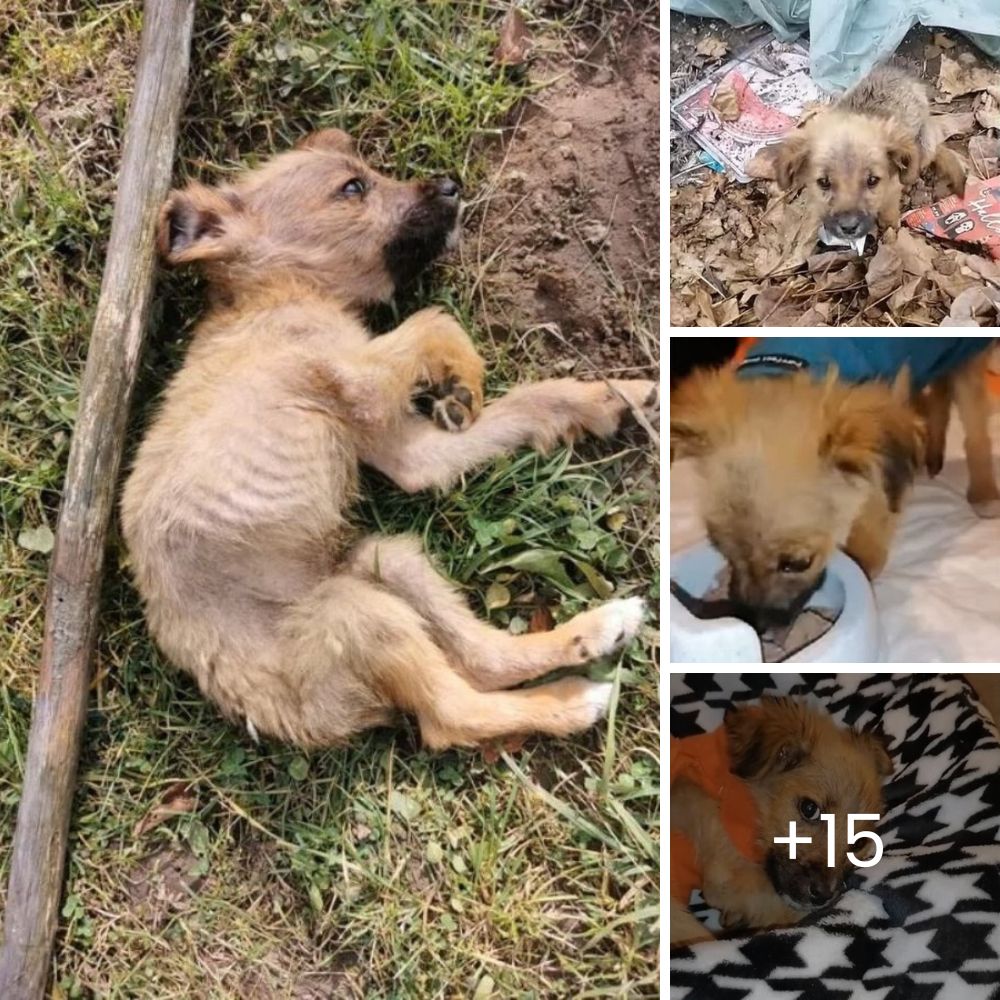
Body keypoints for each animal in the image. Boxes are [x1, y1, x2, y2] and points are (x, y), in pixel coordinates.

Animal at [121, 127, 656, 752]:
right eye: (353, 187)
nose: (452, 184)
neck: (278, 294)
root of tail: (257, 711)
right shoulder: (361, 378)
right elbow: (434, 319)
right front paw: (466, 374)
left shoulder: (405, 452)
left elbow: (522, 401)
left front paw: (612, 397)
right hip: (355, 615)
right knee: (452, 715)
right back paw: (575, 702)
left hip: (386, 560)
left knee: (484, 659)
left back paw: (596, 630)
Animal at [768, 65, 964, 244]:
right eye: (823, 182)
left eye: (872, 180)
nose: (848, 228)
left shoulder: (892, 189)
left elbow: (889, 210)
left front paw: (890, 227)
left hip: (925, 143)